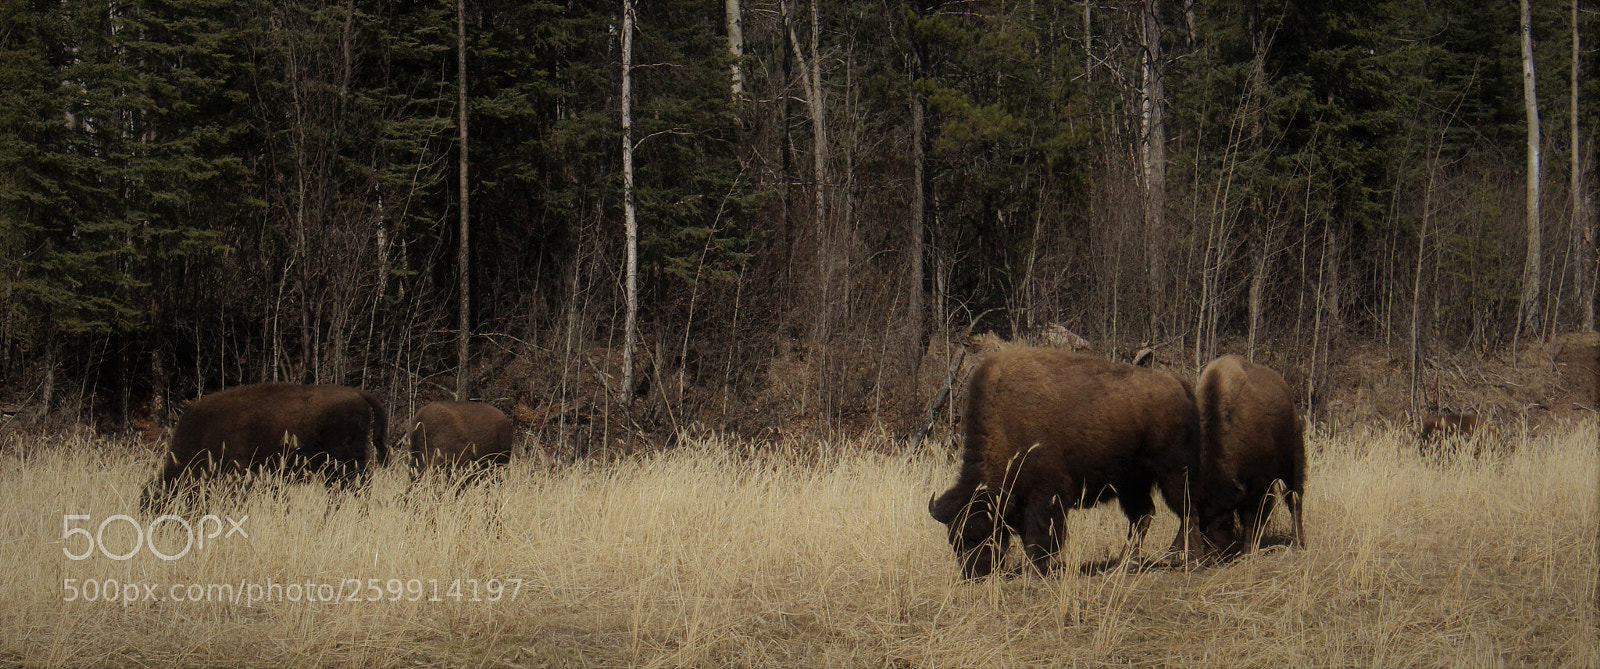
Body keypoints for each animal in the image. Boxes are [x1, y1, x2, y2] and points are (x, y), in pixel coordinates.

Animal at [928, 348, 1223, 579]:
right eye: (955, 541)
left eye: (983, 535)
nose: (973, 574)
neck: (1009, 425)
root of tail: (1179, 384)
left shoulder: (1046, 497)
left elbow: (1041, 537)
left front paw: (1034, 572)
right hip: (1131, 483)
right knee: (1143, 515)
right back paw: (1122, 566)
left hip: (1174, 474)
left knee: (1187, 511)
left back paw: (1194, 563)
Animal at [1195, 355, 1306, 555]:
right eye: (1201, 516)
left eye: (1225, 519)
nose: (1213, 551)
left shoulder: (1258, 484)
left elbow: (1250, 517)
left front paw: (1248, 551)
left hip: (1294, 460)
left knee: (1295, 499)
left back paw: (1298, 543)